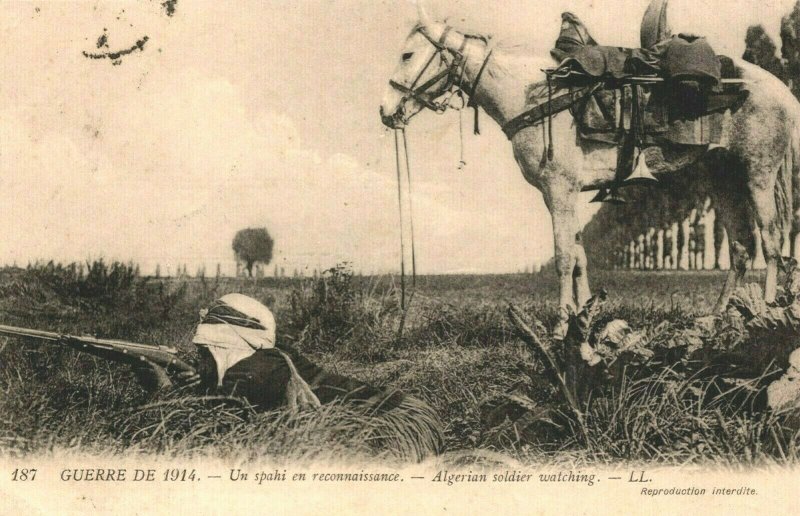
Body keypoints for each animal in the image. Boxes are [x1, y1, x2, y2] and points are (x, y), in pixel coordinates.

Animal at [380, 3, 800, 334]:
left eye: (407, 55)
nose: (386, 111)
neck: (532, 97)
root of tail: (783, 91)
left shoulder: (559, 190)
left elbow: (565, 256)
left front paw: (561, 323)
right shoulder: (560, 195)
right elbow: (580, 255)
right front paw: (583, 317)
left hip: (758, 174)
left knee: (771, 242)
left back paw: (766, 312)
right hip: (722, 178)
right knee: (743, 247)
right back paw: (717, 316)